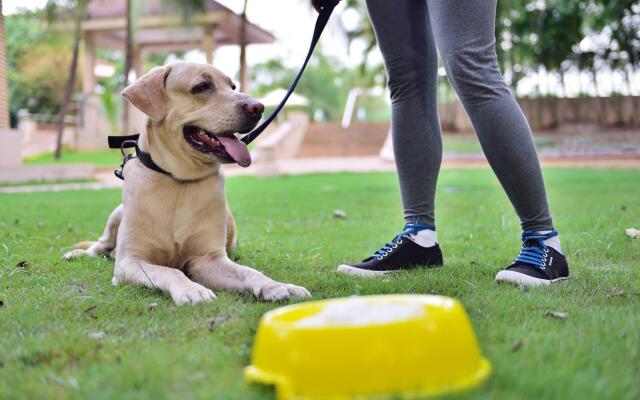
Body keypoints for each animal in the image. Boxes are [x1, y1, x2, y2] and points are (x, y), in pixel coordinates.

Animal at [65, 62, 312, 304]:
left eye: (232, 86)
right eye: (201, 87)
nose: (258, 107)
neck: (179, 181)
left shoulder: (207, 260)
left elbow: (249, 271)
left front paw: (277, 286)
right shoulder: (130, 262)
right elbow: (170, 271)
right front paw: (192, 289)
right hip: (117, 215)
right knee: (101, 245)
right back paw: (78, 254)